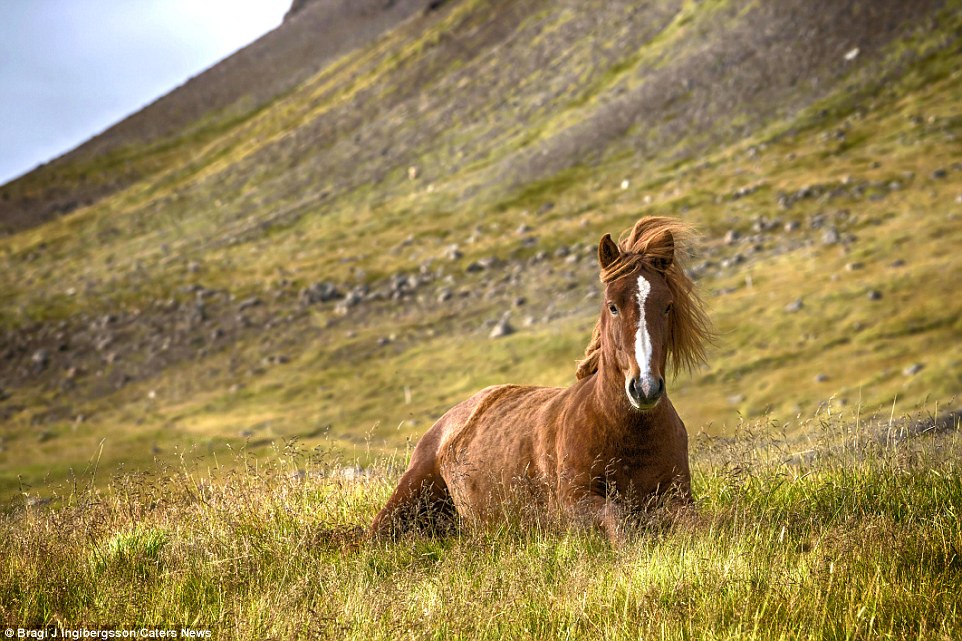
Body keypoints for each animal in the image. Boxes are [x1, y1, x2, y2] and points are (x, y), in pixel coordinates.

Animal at [372, 215, 708, 540]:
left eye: (667, 306)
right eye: (613, 306)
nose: (645, 388)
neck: (627, 433)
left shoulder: (678, 497)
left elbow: (700, 526)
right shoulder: (574, 504)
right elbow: (619, 523)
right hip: (404, 502)